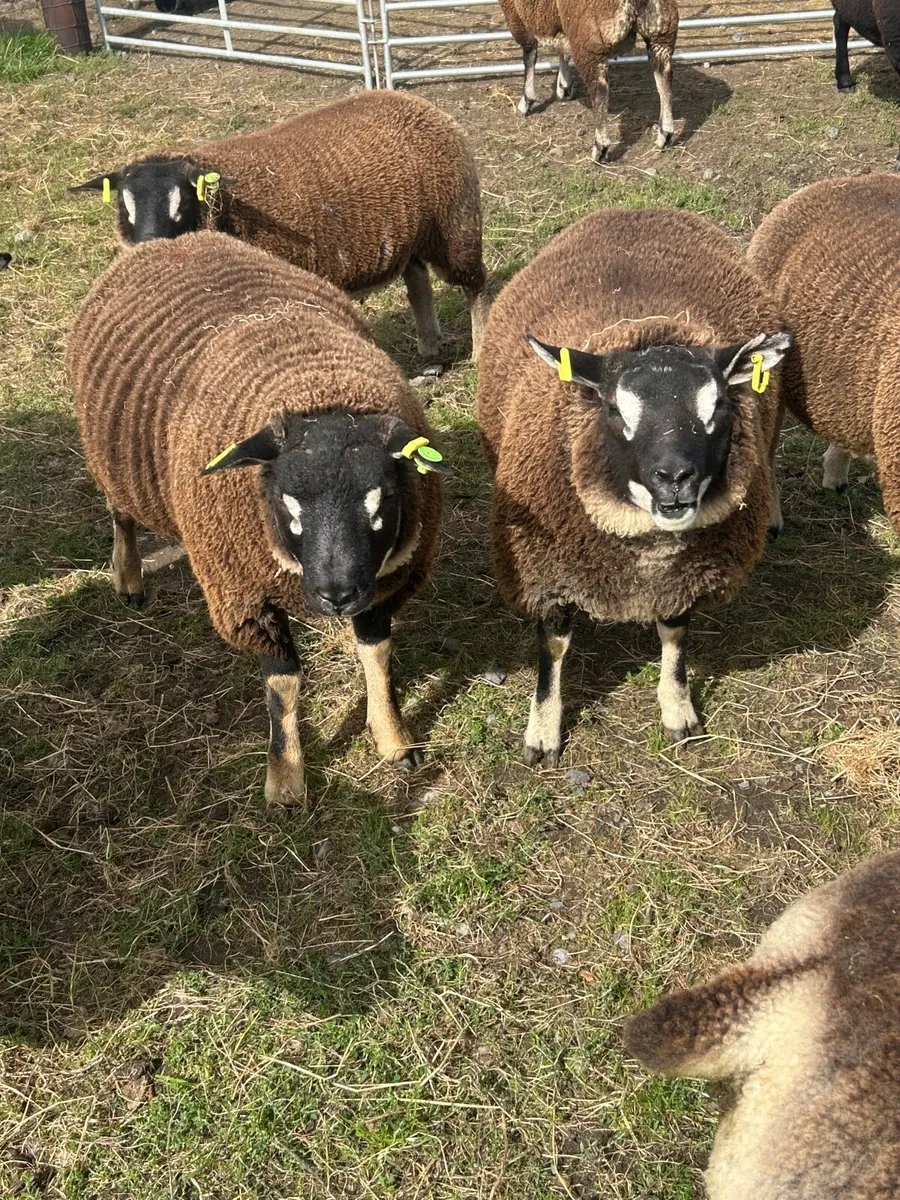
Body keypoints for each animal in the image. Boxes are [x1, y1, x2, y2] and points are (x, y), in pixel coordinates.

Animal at [66, 231, 448, 806]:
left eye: (381, 498)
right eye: (287, 502)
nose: (336, 595)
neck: (315, 386)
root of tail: (175, 239)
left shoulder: (383, 584)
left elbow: (377, 656)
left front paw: (393, 740)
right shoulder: (244, 597)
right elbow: (283, 686)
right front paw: (285, 779)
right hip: (111, 460)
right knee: (121, 517)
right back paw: (129, 578)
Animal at [69, 91, 488, 365]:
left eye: (182, 202)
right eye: (125, 206)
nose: (147, 248)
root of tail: (419, 103)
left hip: (455, 223)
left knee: (475, 284)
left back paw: (480, 349)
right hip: (411, 234)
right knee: (417, 280)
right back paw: (428, 346)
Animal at [476, 207, 790, 764]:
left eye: (719, 407)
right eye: (615, 409)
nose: (675, 477)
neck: (647, 558)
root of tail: (638, 210)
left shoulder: (687, 577)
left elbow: (676, 637)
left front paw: (678, 710)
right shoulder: (546, 574)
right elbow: (552, 650)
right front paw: (542, 732)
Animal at [496, 0, 679, 163]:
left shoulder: (516, 15)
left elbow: (529, 55)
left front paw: (526, 102)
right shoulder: (560, 25)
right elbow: (562, 49)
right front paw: (564, 86)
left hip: (590, 42)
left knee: (599, 92)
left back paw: (600, 148)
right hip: (661, 33)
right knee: (665, 80)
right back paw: (665, 135)